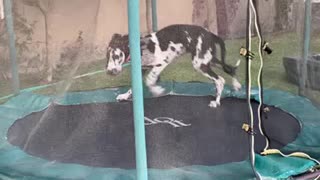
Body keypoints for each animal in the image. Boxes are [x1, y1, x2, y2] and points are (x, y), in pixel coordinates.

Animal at [106, 24, 241, 107]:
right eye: (107, 57)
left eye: (116, 56)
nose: (109, 71)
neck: (141, 47)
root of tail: (210, 34)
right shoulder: (142, 69)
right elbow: (133, 87)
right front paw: (124, 96)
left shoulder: (161, 63)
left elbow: (150, 80)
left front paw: (157, 90)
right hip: (209, 60)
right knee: (229, 69)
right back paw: (236, 85)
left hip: (200, 64)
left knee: (220, 80)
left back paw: (216, 102)